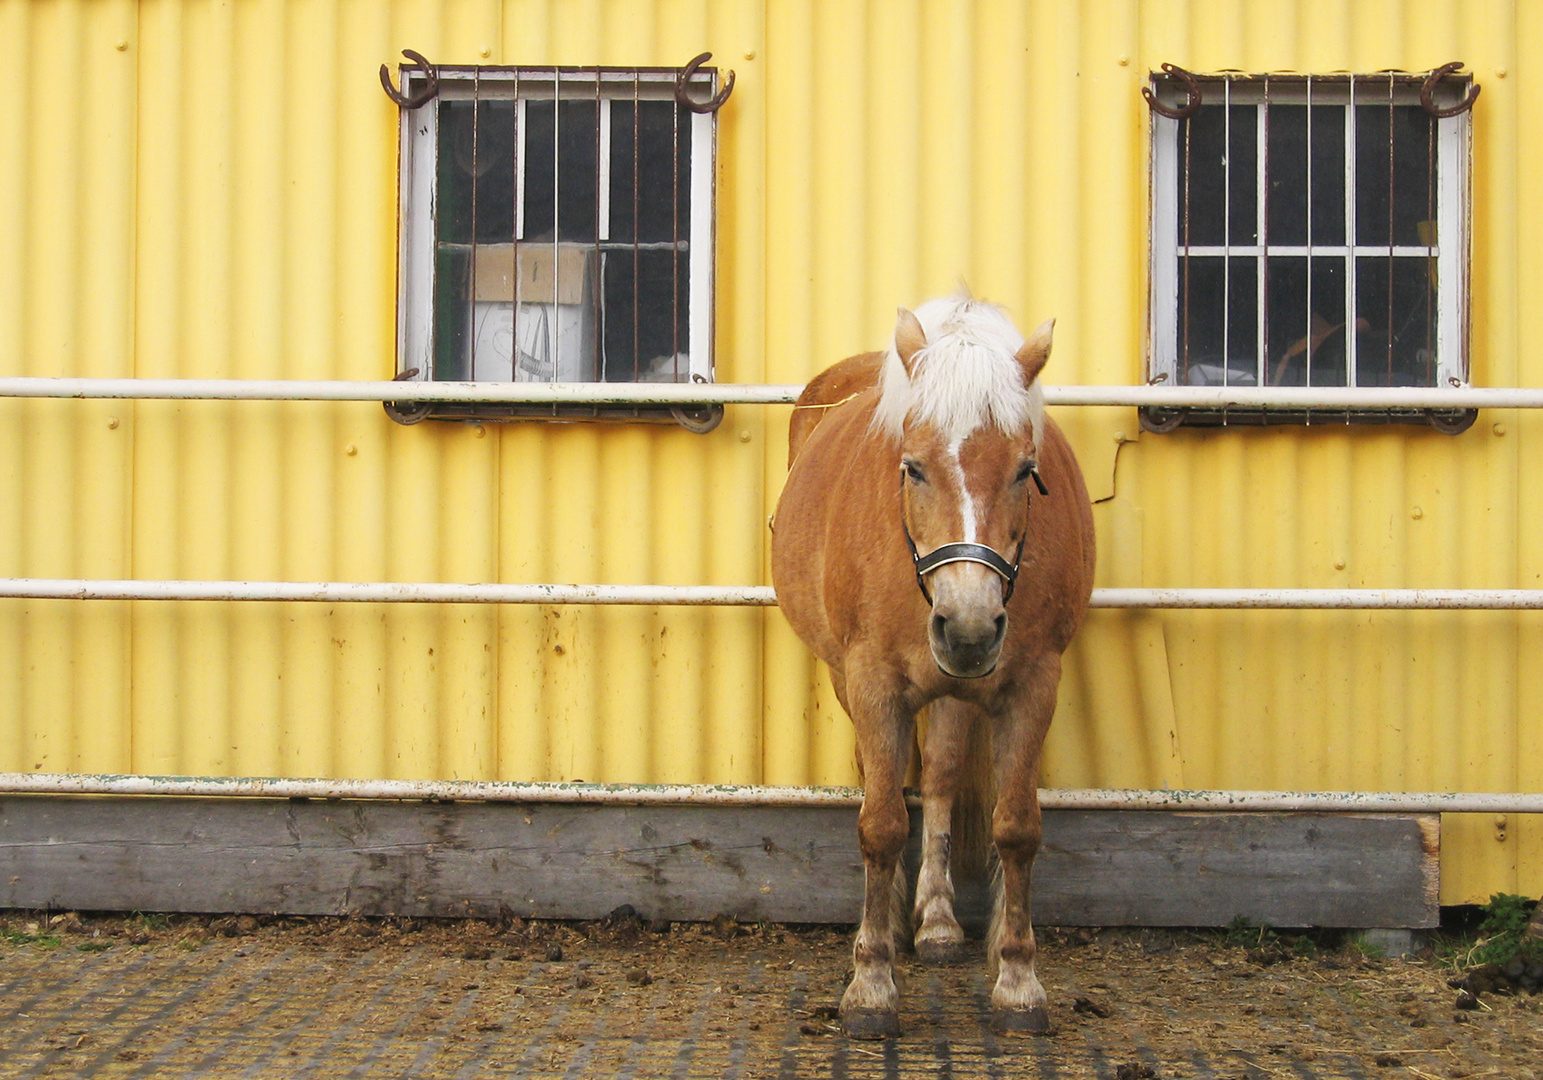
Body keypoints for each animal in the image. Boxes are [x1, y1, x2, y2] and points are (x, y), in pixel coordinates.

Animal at [771, 294, 1098, 1036]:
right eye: (913, 466)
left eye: (1025, 468)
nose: (969, 624)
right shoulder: (872, 685)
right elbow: (883, 823)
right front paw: (870, 983)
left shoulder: (1033, 685)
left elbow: (1016, 827)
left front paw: (1016, 978)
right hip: (849, 678)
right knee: (885, 784)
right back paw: (894, 922)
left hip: (954, 685)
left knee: (944, 777)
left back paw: (940, 922)